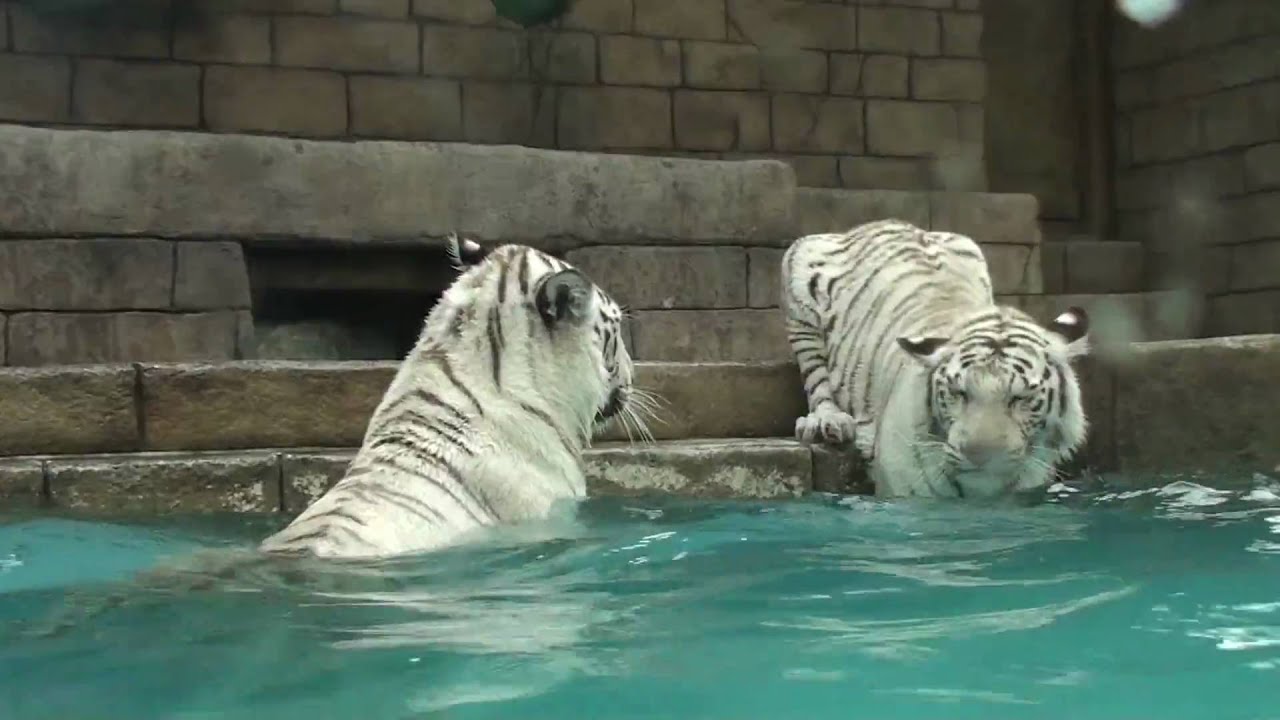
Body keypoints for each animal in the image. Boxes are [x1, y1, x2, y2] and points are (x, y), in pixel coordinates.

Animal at [781, 218, 1091, 499]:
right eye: (958, 393)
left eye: (1020, 398)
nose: (980, 457)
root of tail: (875, 223)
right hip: (800, 276)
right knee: (817, 382)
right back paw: (828, 422)